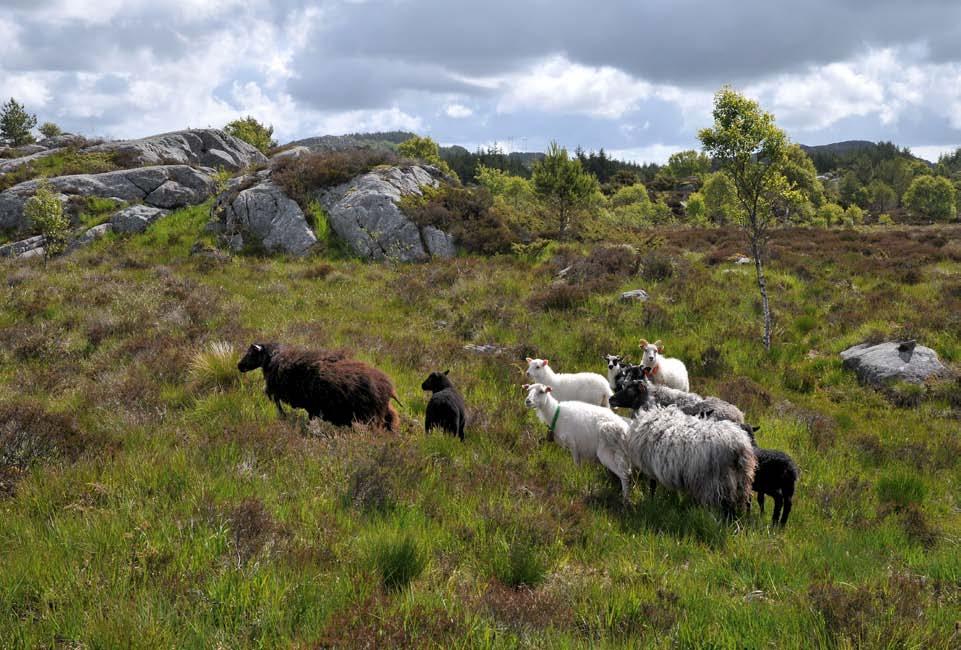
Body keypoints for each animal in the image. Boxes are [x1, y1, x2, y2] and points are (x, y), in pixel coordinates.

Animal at [238, 340, 400, 430]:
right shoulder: (311, 407)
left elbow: (278, 404)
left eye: (251, 353)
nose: (239, 366)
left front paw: (284, 417)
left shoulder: (280, 392)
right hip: (383, 412)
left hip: (372, 417)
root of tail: (389, 388)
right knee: (392, 421)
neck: (276, 359)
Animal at [624, 404, 756, 516]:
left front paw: (652, 501)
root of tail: (738, 446)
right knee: (740, 503)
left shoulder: (651, 469)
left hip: (717, 482)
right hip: (741, 481)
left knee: (726, 509)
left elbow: (652, 487)